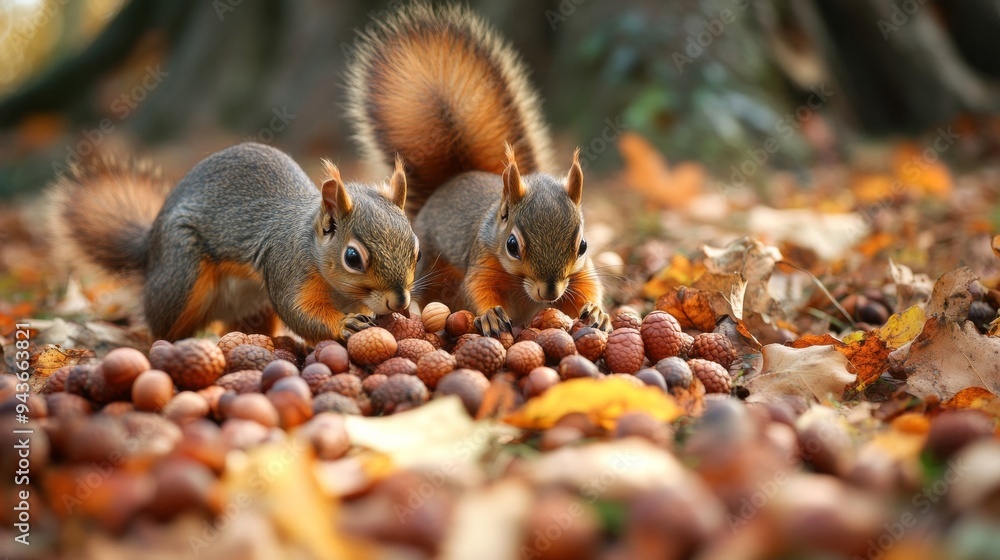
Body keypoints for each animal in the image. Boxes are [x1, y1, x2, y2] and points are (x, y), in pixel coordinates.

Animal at [51, 142, 419, 344]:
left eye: (416, 249)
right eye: (353, 257)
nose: (400, 301)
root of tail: (150, 248)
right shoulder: (286, 266)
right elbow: (298, 311)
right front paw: (344, 324)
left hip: (253, 309)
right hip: (181, 275)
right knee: (161, 328)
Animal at [345, 2, 611, 336]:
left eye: (583, 245)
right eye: (512, 245)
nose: (549, 293)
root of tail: (453, 181)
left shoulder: (579, 273)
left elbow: (587, 289)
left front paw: (598, 312)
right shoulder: (482, 258)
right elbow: (477, 288)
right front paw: (491, 315)